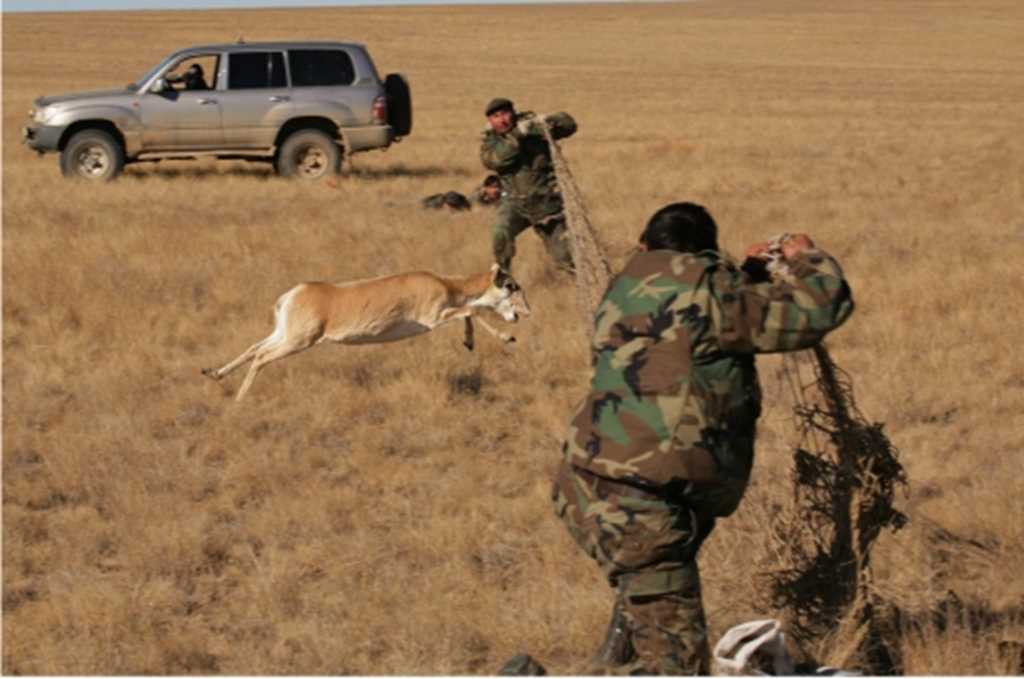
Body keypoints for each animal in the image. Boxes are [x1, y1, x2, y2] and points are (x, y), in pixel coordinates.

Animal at [202, 264, 532, 403]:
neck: (446, 283)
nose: (525, 313)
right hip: (298, 341)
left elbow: (469, 314)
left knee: (253, 348)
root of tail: (293, 294)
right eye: (511, 285)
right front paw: (506, 338)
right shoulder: (434, 317)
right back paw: (239, 401)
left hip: (283, 334)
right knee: (261, 356)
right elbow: (471, 311)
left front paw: (469, 343)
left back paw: (214, 374)